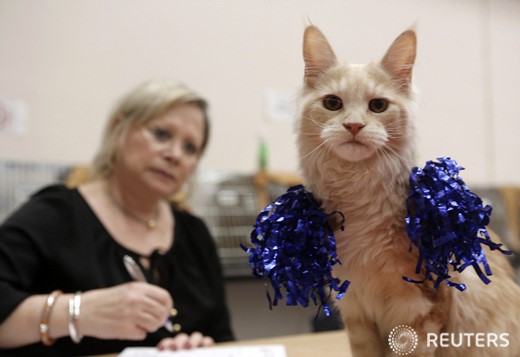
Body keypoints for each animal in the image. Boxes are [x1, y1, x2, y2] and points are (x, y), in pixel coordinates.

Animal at [296, 25, 520, 356]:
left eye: (378, 106)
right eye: (333, 103)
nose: (353, 126)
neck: (358, 193)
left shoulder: (420, 309)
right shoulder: (356, 313)